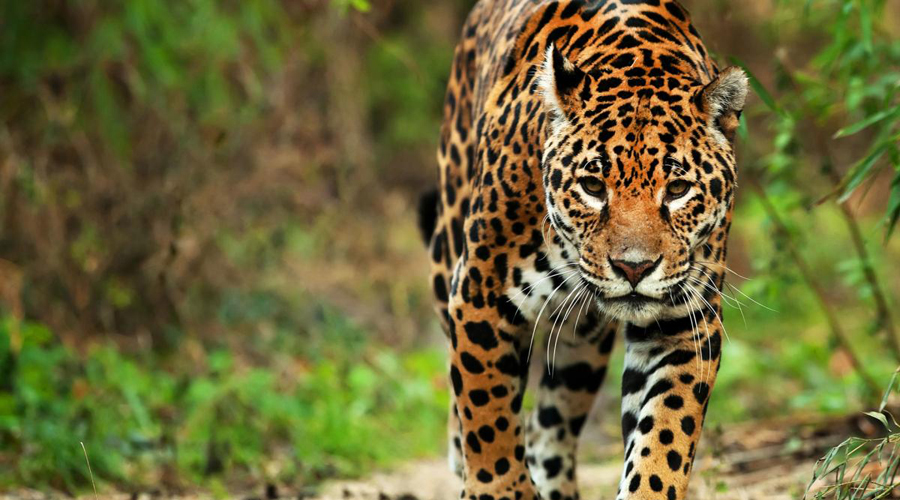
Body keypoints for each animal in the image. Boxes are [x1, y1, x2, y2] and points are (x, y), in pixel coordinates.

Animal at [418, 1, 748, 499]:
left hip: (582, 342)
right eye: (592, 186)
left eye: (677, 190)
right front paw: (499, 486)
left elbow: (665, 438)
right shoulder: (480, 295)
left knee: (548, 429)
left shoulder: (684, 323)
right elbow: (487, 414)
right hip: (446, 261)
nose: (634, 269)